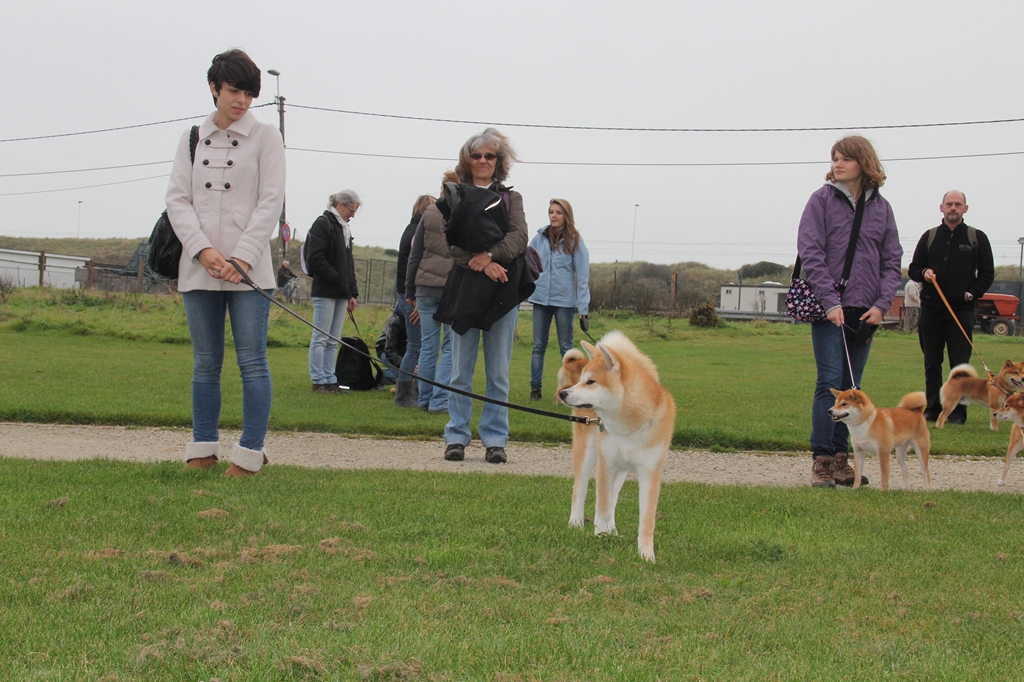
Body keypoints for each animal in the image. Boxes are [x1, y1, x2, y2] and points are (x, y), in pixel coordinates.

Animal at [557, 329, 675, 561]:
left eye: (591, 382)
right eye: (582, 380)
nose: (564, 393)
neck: (629, 426)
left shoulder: (649, 472)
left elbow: (646, 521)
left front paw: (646, 555)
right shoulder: (606, 464)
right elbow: (601, 506)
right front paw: (600, 536)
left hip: (621, 469)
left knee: (613, 498)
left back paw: (613, 531)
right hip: (588, 452)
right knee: (580, 489)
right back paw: (576, 524)